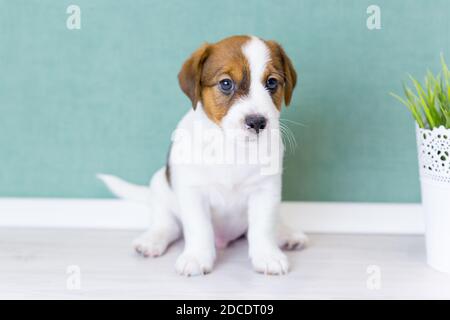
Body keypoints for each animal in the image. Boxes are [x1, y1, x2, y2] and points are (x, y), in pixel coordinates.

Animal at [99, 34, 308, 276]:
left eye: (272, 82)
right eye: (226, 83)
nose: (257, 122)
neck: (232, 147)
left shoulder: (265, 191)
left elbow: (263, 228)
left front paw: (268, 255)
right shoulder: (193, 193)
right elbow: (199, 228)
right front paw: (197, 257)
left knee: (272, 223)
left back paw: (287, 235)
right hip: (159, 185)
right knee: (168, 225)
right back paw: (152, 240)